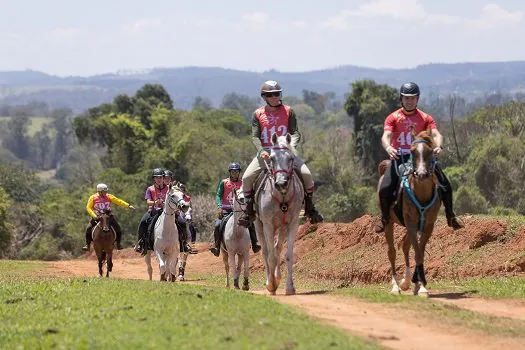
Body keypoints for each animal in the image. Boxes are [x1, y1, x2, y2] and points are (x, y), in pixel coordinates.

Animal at [253, 133, 302, 294]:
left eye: (291, 158)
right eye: (272, 158)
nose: (281, 183)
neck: (282, 197)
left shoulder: (292, 223)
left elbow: (288, 255)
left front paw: (289, 287)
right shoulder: (268, 225)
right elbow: (271, 256)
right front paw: (271, 285)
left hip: (281, 227)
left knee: (277, 247)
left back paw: (278, 277)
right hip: (259, 225)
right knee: (266, 251)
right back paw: (271, 281)